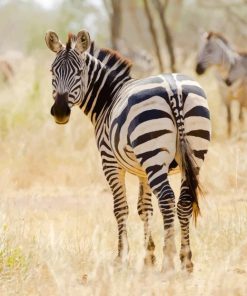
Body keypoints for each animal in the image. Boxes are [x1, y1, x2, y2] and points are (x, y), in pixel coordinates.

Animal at [44, 28, 210, 272]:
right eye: (52, 71)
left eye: (79, 72)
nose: (60, 112)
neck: (109, 98)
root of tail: (173, 88)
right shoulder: (143, 171)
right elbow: (144, 208)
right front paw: (148, 256)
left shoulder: (110, 162)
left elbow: (120, 208)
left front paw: (121, 257)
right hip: (193, 154)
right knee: (184, 201)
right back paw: (186, 260)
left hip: (153, 155)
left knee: (167, 199)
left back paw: (168, 262)